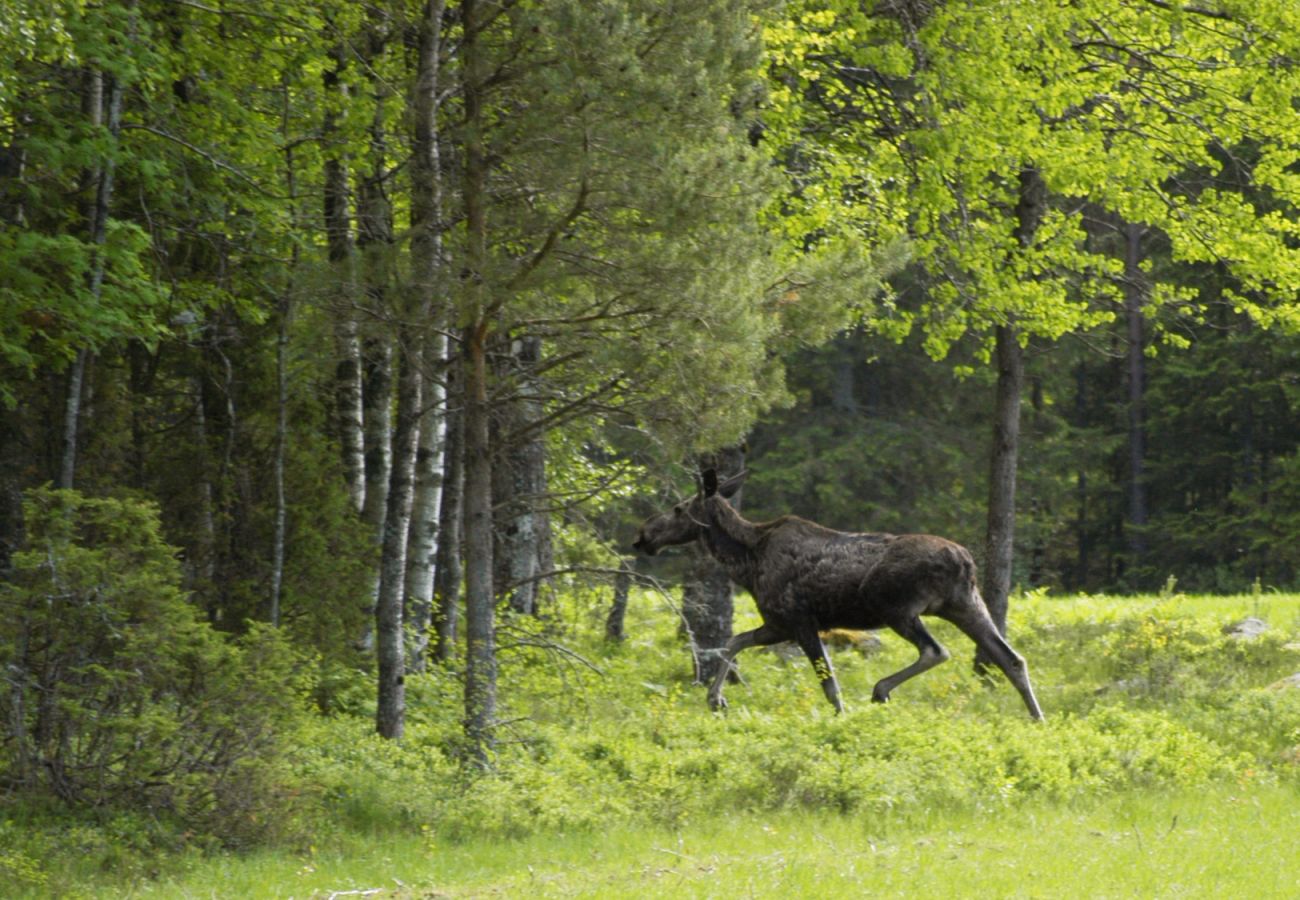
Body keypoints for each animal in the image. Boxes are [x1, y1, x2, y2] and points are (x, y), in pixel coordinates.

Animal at [631, 468, 1045, 723]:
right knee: (1012, 659)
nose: (642, 535)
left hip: (898, 609)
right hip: (965, 604)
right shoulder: (777, 624)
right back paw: (1037, 718)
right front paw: (716, 700)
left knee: (936, 650)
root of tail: (965, 561)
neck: (746, 561)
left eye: (678, 508)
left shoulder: (798, 620)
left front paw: (840, 718)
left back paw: (881, 691)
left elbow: (828, 684)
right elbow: (735, 641)